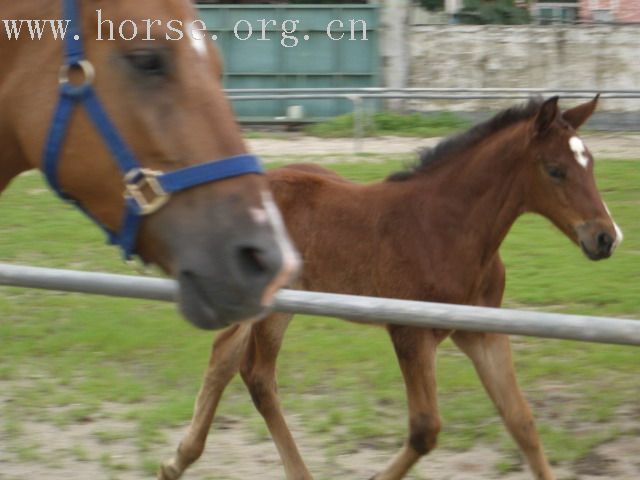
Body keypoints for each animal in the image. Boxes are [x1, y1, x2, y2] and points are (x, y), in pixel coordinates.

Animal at [161, 95, 624, 478]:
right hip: (276, 308)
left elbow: (521, 421)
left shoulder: (480, 332)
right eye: (555, 169)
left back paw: (177, 460)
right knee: (257, 376)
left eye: (591, 162)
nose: (606, 237)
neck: (444, 228)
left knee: (224, 353)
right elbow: (425, 429)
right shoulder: (409, 333)